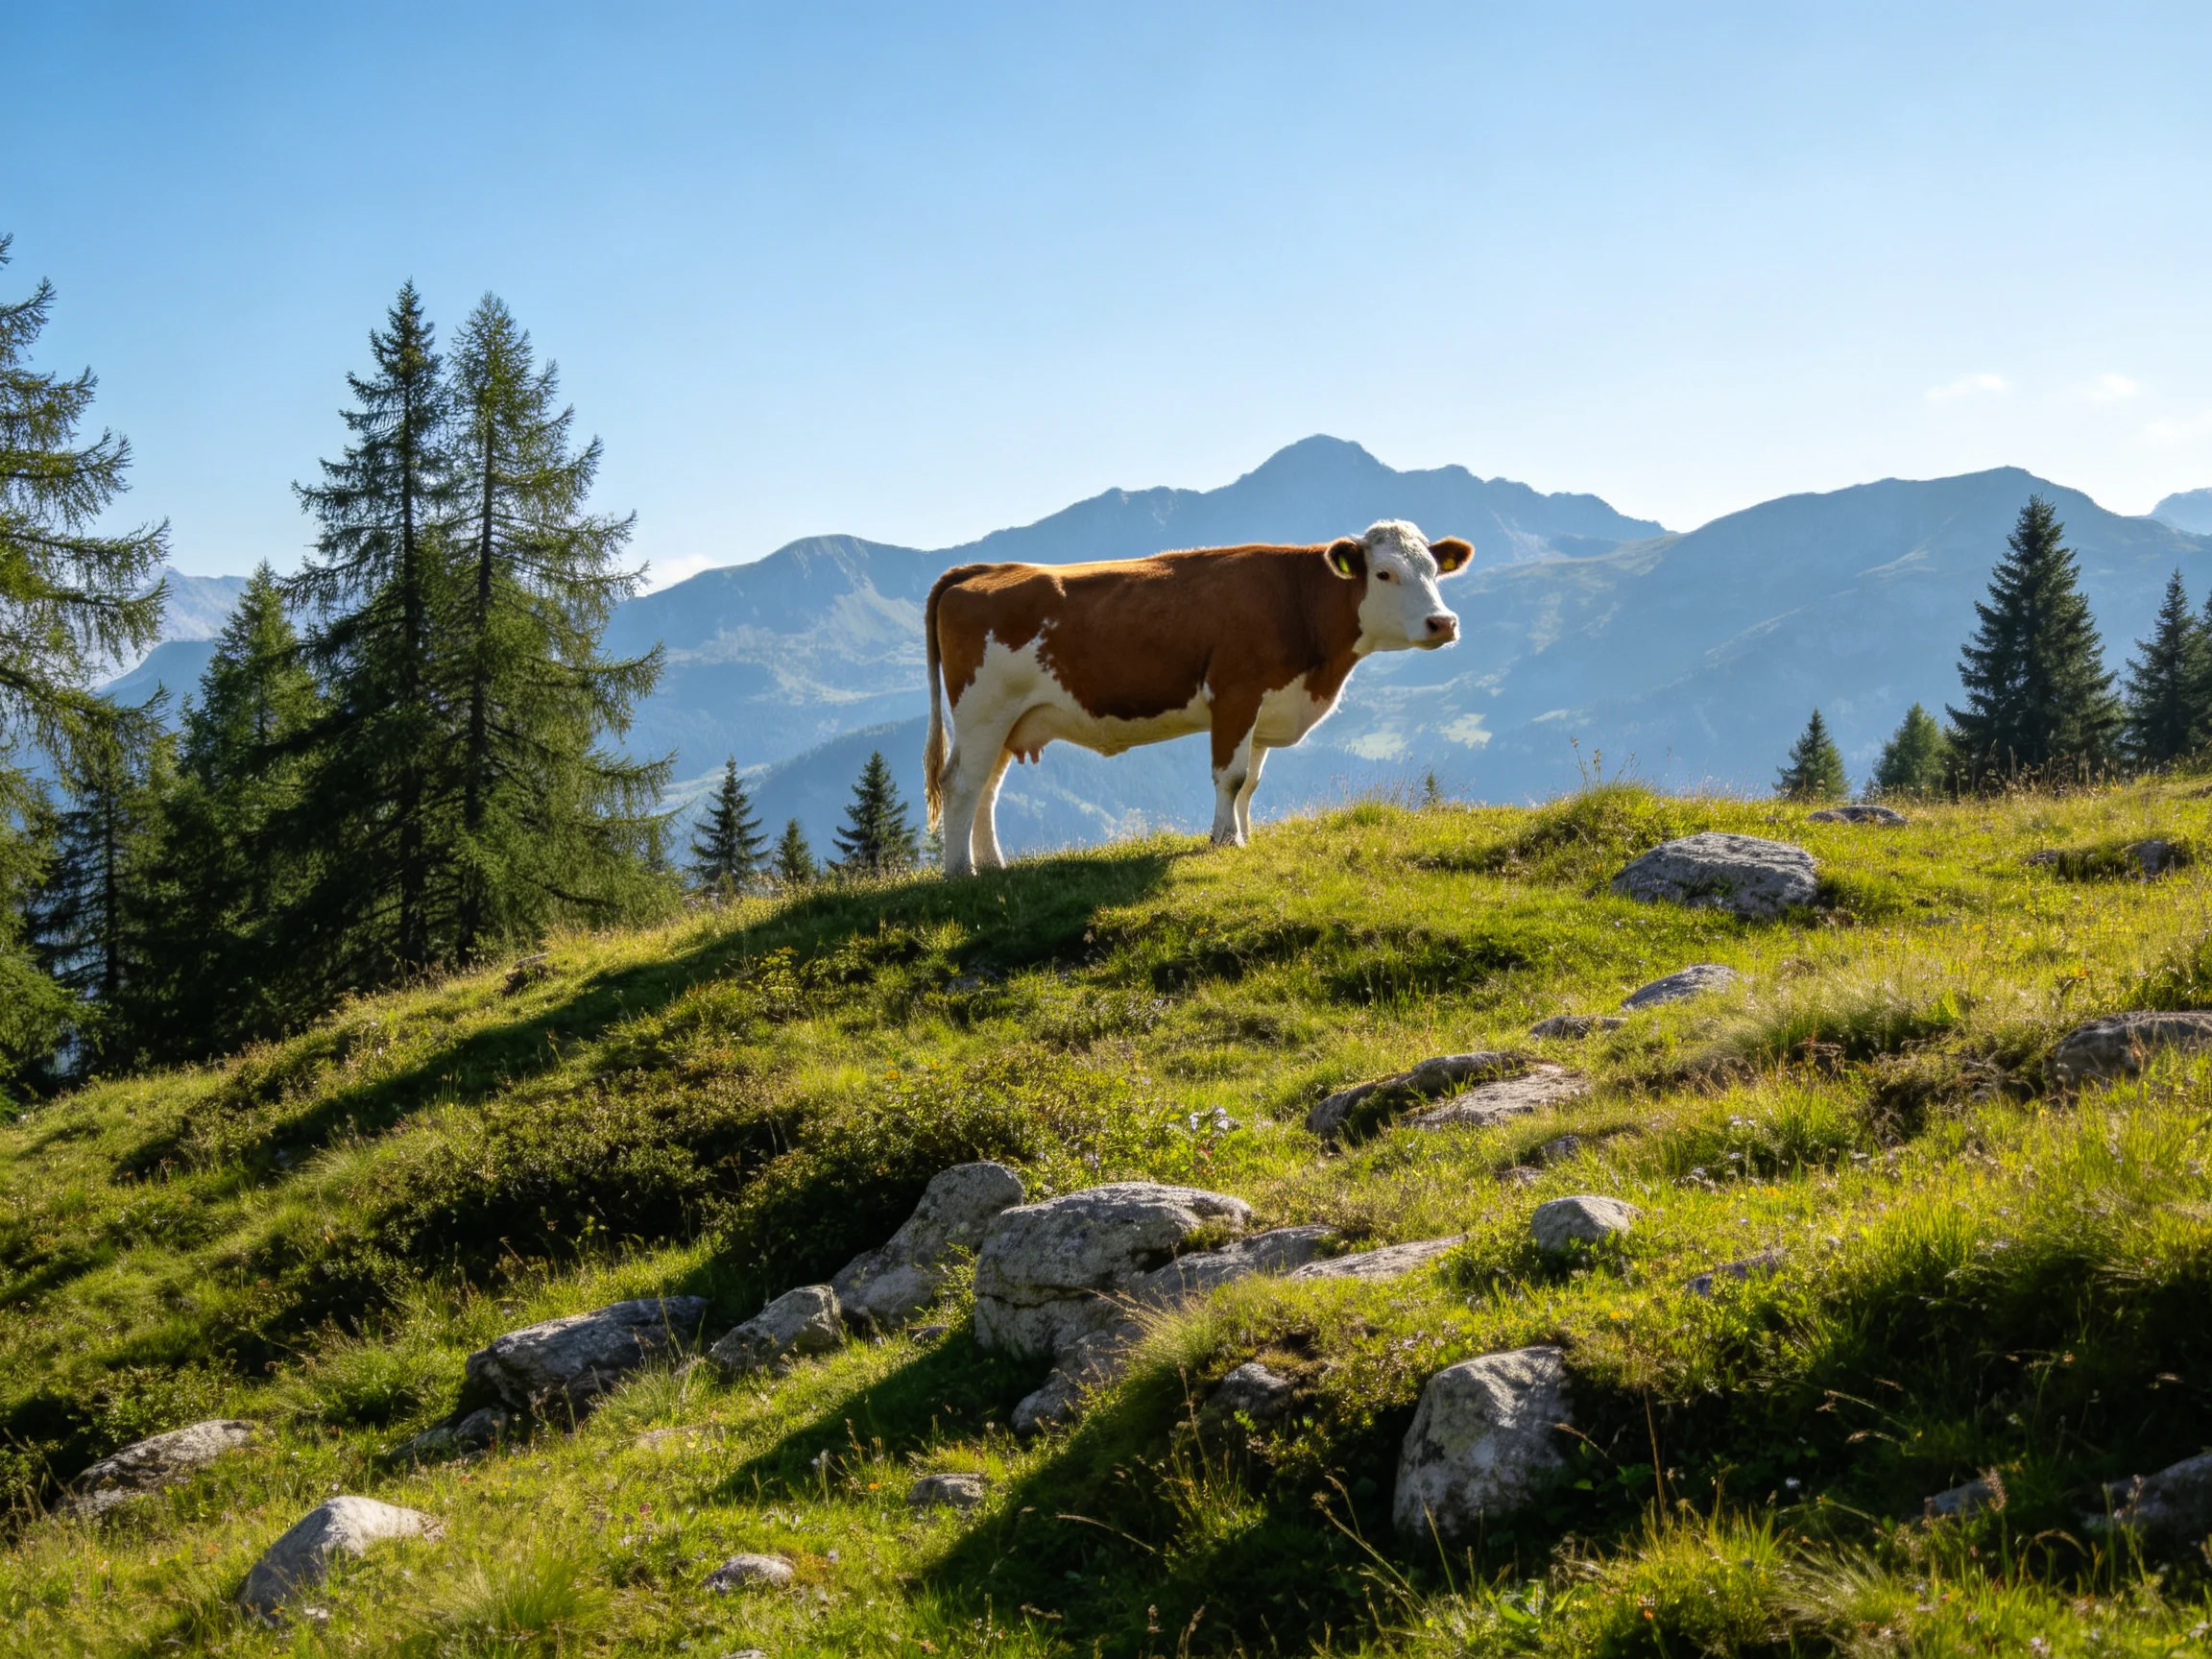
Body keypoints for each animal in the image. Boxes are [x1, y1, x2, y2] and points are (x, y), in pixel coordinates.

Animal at [922, 518, 1472, 877]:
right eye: (1384, 574)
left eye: (1434, 571)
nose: (1443, 622)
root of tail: (981, 570)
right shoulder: (1235, 694)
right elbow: (1230, 777)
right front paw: (1224, 841)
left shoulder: (1265, 708)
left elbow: (1250, 783)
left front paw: (1244, 836)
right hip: (983, 712)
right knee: (961, 784)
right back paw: (960, 873)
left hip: (1008, 720)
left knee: (987, 788)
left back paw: (992, 865)